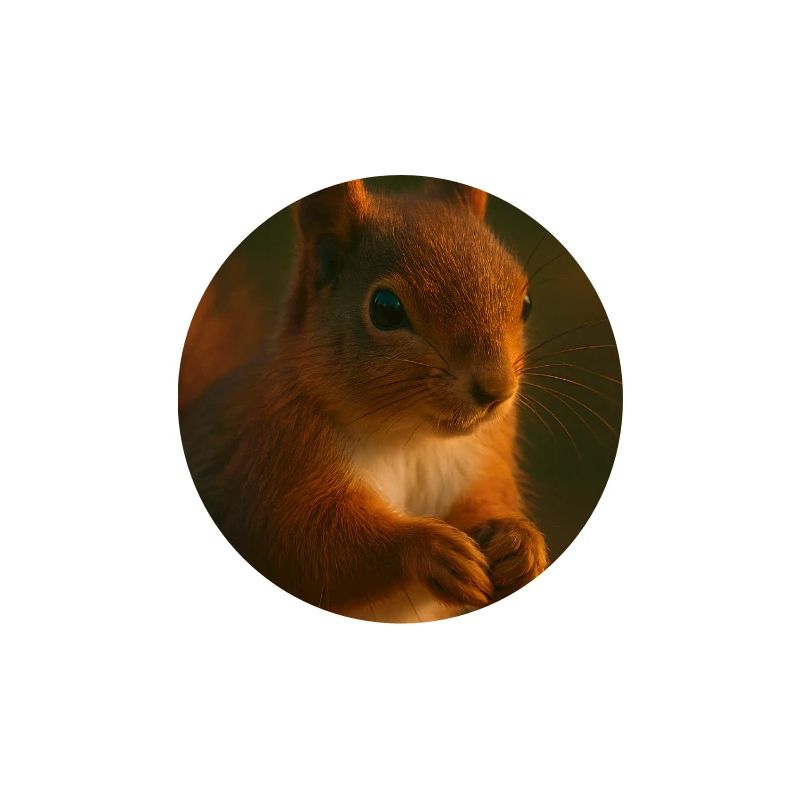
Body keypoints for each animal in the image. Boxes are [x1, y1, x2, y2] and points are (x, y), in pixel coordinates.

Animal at [179, 178, 549, 620]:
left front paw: (521, 543)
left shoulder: (483, 458)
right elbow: (307, 547)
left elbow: (487, 502)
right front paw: (429, 548)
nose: (497, 392)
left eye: (526, 303)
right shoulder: (272, 465)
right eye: (385, 309)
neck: (410, 439)